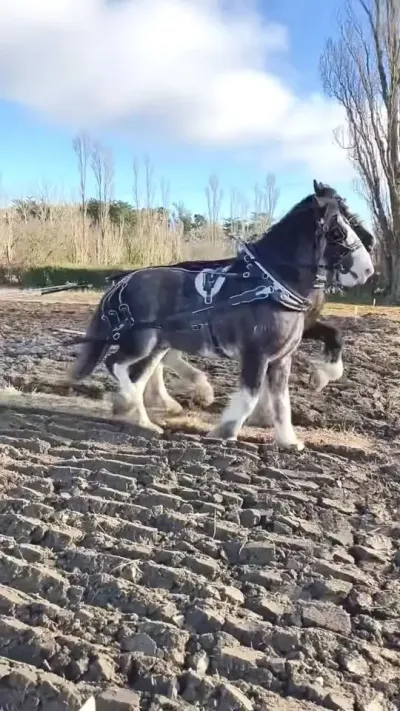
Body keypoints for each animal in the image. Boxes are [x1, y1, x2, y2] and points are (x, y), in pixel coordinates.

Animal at [69, 185, 374, 450]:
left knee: (139, 375)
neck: (271, 285)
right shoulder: (256, 353)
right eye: (338, 230)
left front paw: (289, 440)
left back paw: (142, 419)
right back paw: (137, 405)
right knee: (116, 365)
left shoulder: (281, 358)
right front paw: (224, 432)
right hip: (141, 342)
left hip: (155, 345)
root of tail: (122, 282)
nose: (367, 269)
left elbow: (281, 402)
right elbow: (250, 396)